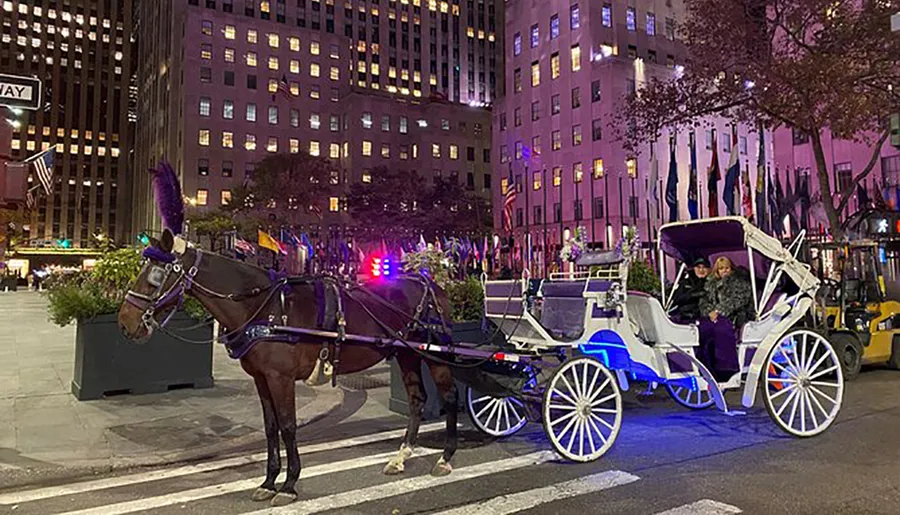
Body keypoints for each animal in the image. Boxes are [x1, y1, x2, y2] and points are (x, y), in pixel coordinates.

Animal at [118, 231, 458, 508]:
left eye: (156, 274)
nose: (125, 321)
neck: (265, 309)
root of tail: (431, 283)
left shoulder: (280, 378)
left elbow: (288, 427)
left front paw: (290, 484)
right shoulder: (261, 378)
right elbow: (270, 428)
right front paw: (269, 482)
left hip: (436, 357)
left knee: (450, 396)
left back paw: (445, 457)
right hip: (408, 354)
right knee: (416, 399)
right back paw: (401, 456)